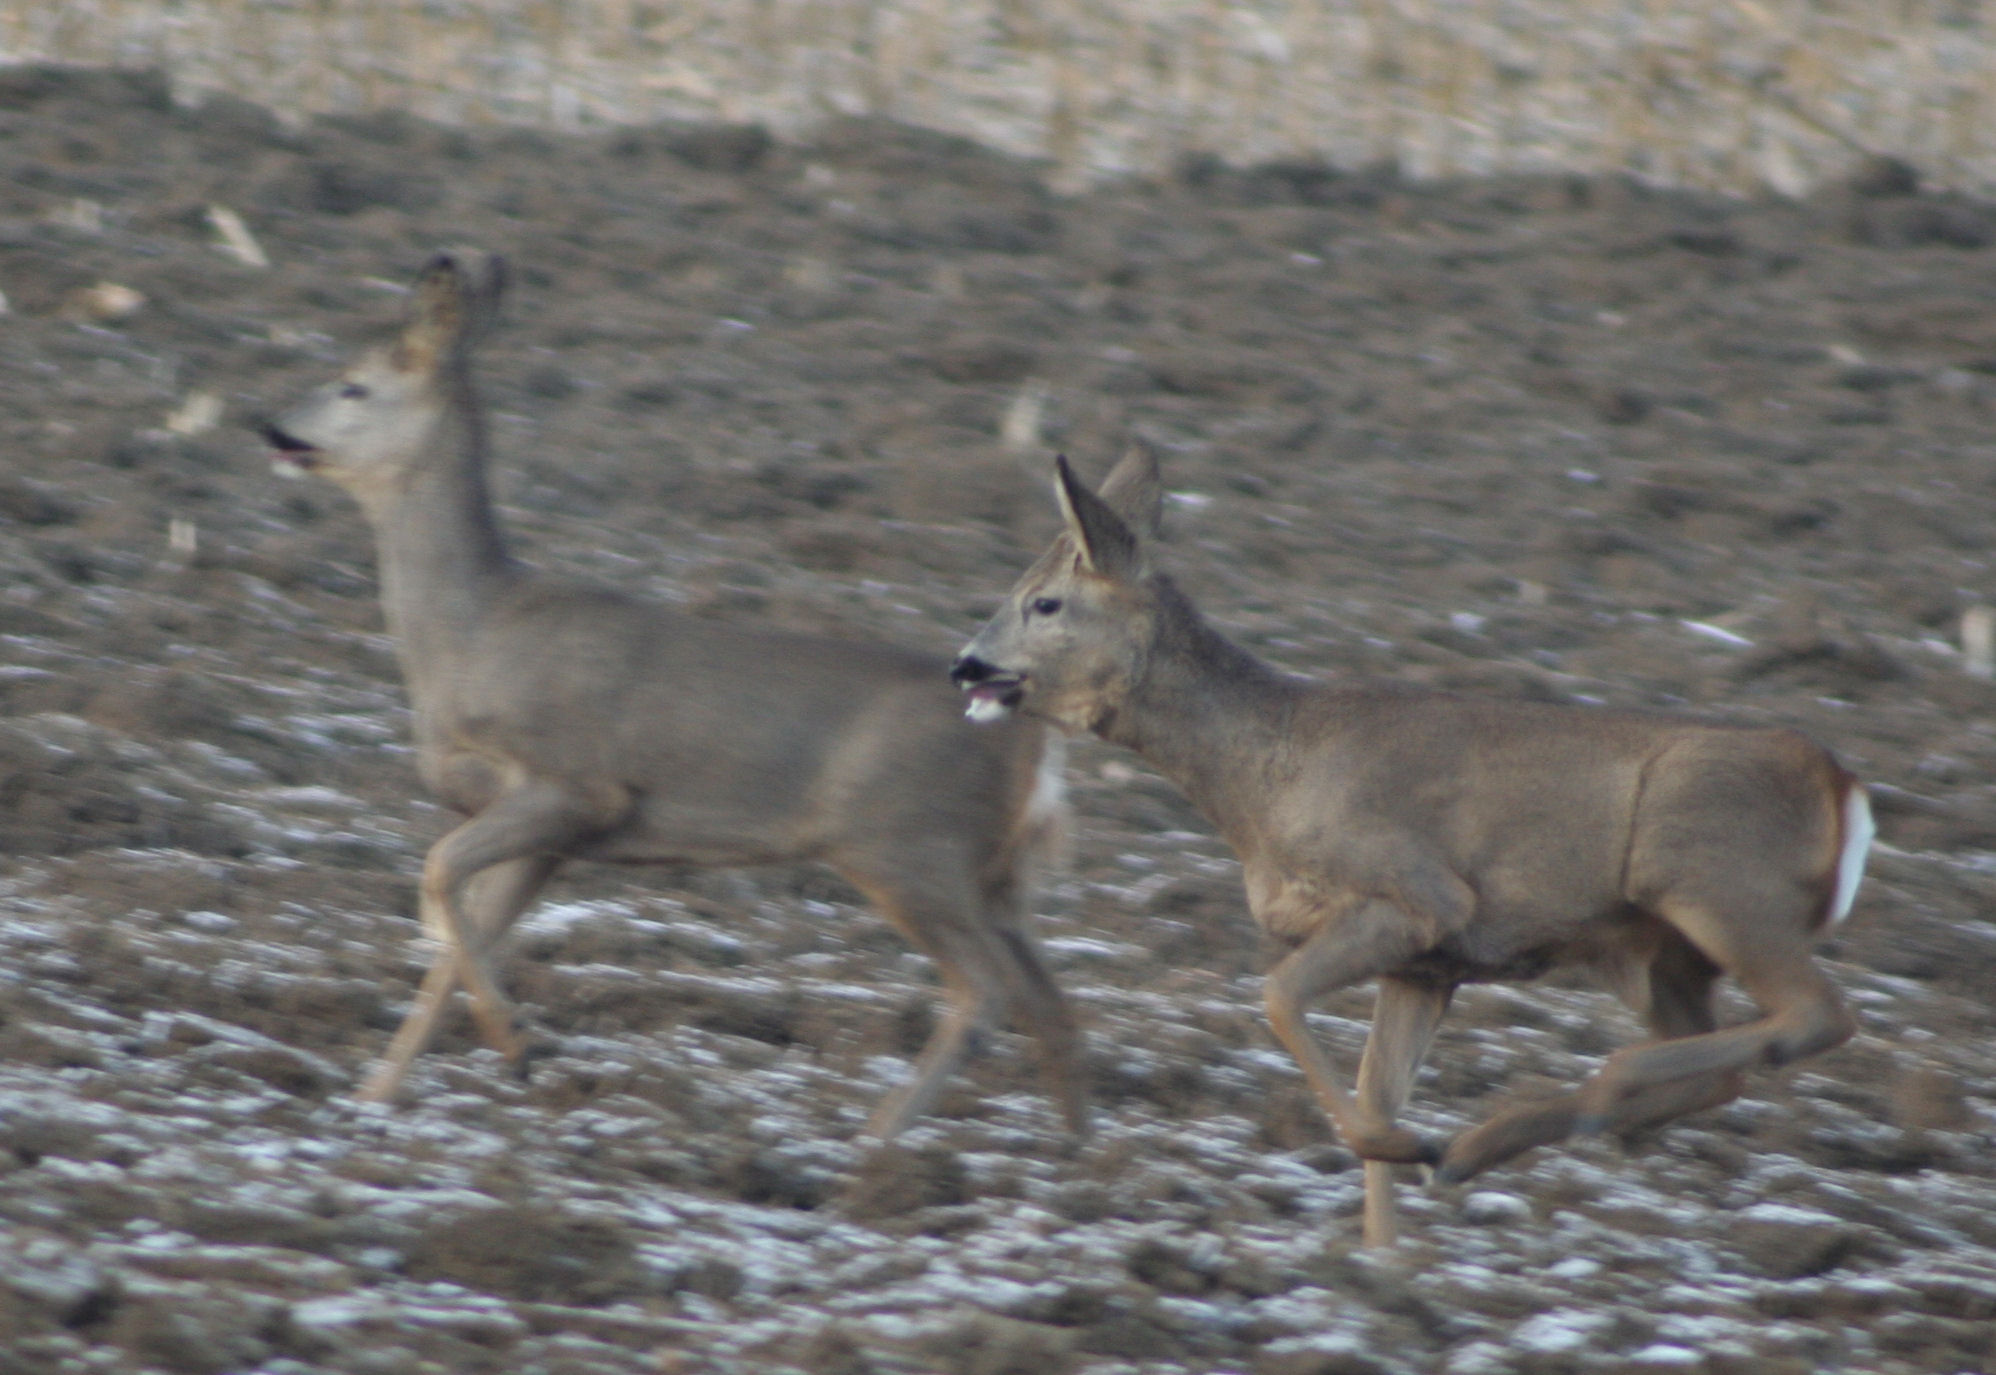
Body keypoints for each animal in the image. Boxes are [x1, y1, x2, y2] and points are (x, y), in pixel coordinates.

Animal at [263, 252, 1085, 1141]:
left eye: (353, 385)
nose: (271, 427)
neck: (470, 634)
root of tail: (1032, 739)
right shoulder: (557, 834)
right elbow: (458, 937)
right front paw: (379, 1093)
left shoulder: (577, 782)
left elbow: (439, 875)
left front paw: (519, 1042)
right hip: (992, 873)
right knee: (1053, 1001)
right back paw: (1077, 1154)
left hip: (906, 844)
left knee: (985, 989)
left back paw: (879, 1140)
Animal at [954, 447, 1868, 1245]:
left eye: (1044, 602)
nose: (967, 664)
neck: (1267, 777)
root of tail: (1843, 786)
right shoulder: (1428, 963)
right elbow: (1377, 1083)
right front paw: (1385, 1262)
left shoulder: (1418, 892)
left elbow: (1279, 995)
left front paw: (1400, 1153)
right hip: (1663, 952)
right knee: (1727, 1064)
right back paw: (1488, 1143)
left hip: (1716, 884)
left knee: (1816, 1013)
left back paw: (1541, 1112)